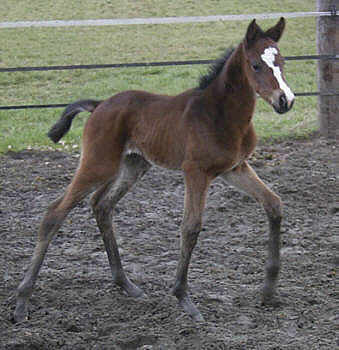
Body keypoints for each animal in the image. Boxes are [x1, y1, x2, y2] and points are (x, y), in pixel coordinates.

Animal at [13, 17, 294, 322]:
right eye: (255, 65)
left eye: (282, 61)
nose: (285, 100)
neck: (220, 114)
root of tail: (98, 105)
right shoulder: (196, 171)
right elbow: (190, 227)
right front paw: (184, 298)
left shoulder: (235, 168)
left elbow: (274, 204)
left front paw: (269, 291)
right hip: (98, 164)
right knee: (55, 213)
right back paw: (22, 302)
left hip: (132, 165)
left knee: (101, 205)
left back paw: (125, 284)